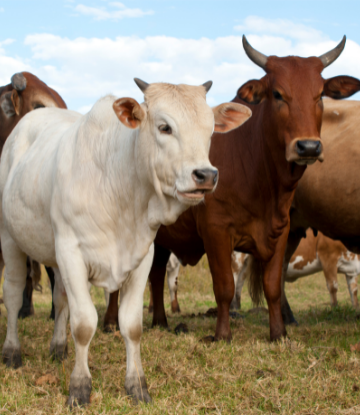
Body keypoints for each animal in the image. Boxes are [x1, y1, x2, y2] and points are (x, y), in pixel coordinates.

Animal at [103, 35, 360, 342]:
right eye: (277, 94)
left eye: (320, 94)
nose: (308, 147)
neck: (259, 174)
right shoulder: (216, 231)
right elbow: (225, 286)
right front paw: (222, 334)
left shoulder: (281, 230)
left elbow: (273, 285)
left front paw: (279, 333)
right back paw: (110, 322)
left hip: (163, 235)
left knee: (156, 273)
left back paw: (161, 321)